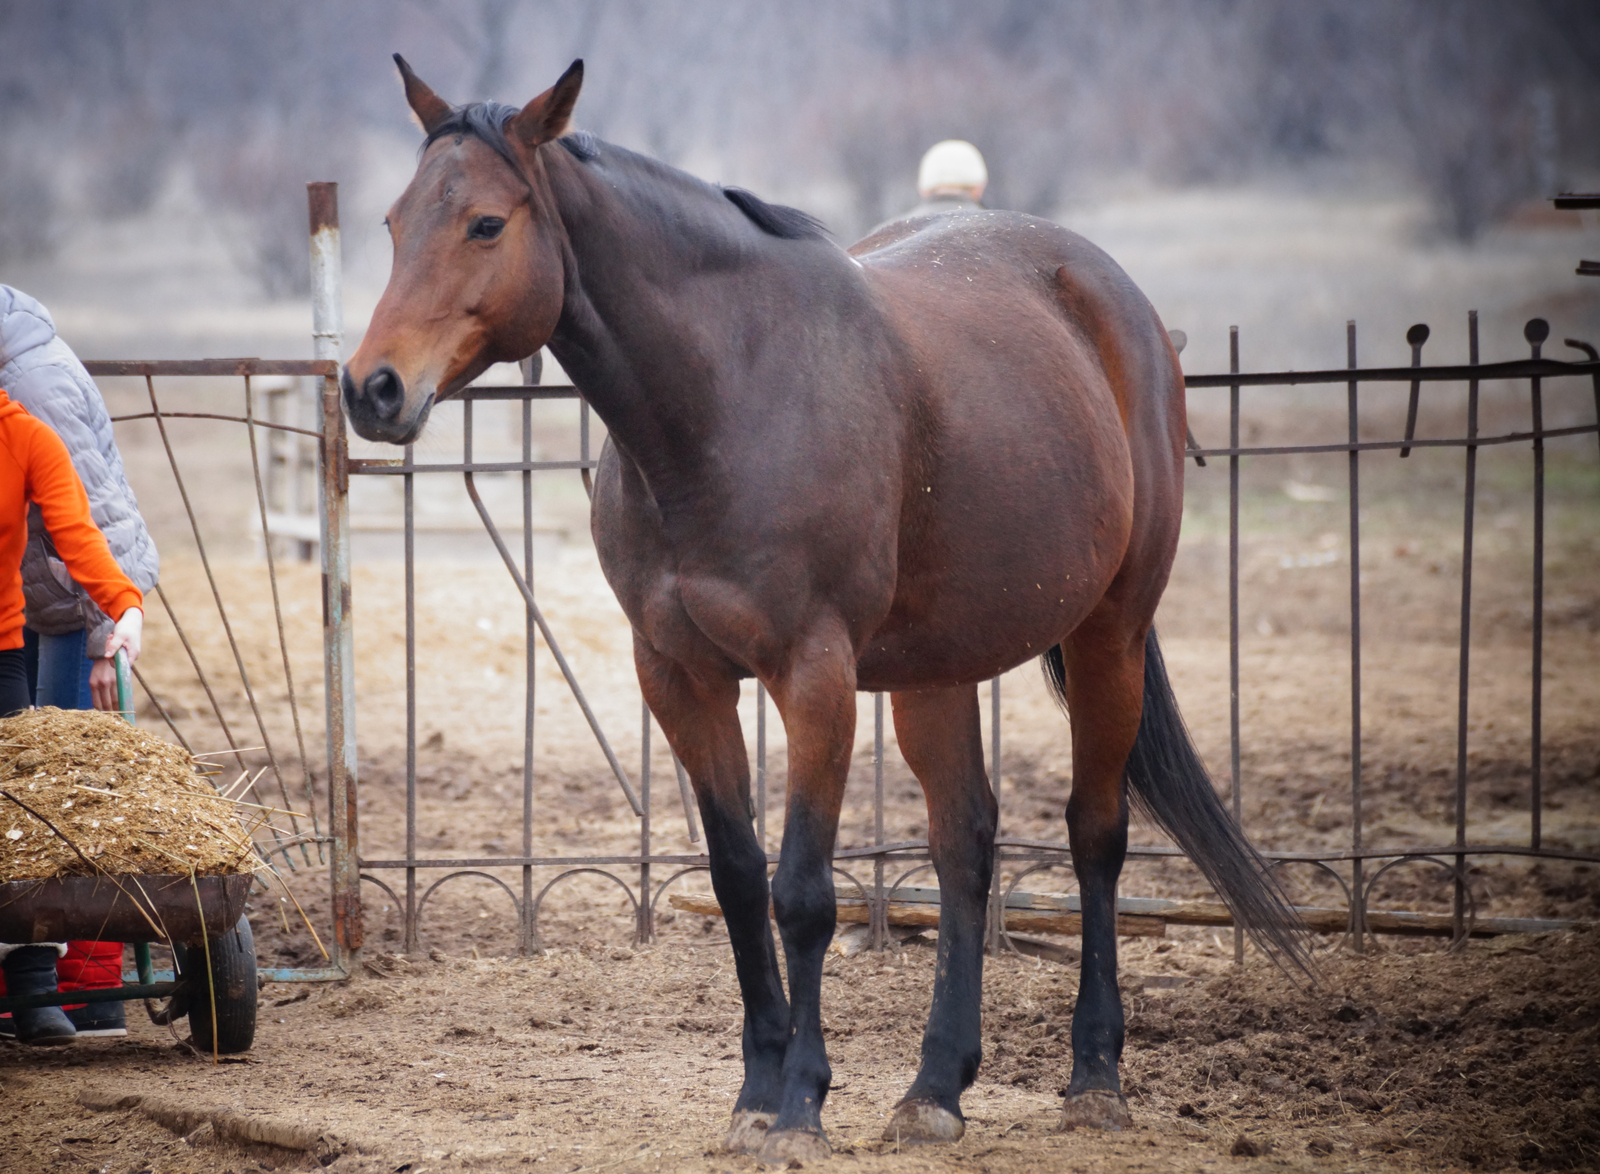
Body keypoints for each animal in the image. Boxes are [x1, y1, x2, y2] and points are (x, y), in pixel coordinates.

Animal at [344, 59, 1305, 1164]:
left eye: (487, 224)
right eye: (392, 220)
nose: (371, 389)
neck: (727, 400)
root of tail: (1118, 302)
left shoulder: (814, 675)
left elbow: (803, 892)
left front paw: (800, 1105)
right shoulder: (678, 676)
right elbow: (735, 875)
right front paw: (756, 1092)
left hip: (1110, 630)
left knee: (1093, 832)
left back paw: (1094, 1076)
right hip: (939, 666)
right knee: (964, 841)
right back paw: (934, 1088)